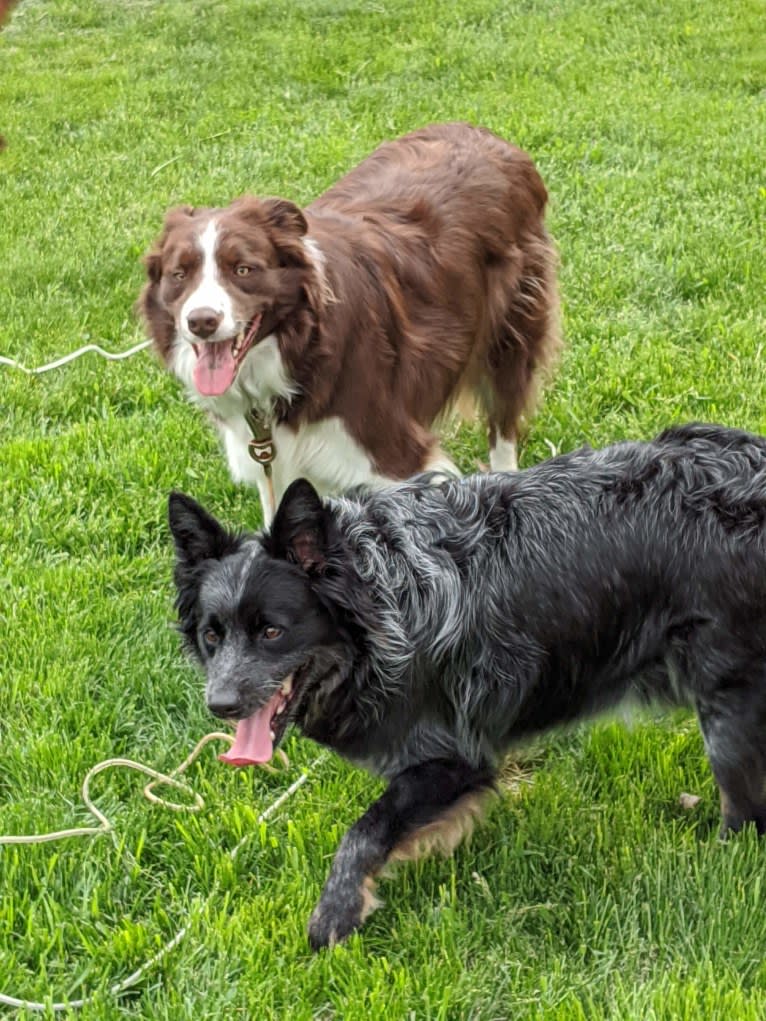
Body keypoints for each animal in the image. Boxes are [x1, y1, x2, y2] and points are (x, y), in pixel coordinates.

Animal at [139, 123, 559, 522]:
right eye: (180, 274)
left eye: (243, 269)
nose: (201, 321)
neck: (301, 349)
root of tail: (490, 138)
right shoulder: (272, 458)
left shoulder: (394, 456)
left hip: (512, 328)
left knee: (504, 424)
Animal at [167, 418, 766, 943]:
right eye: (212, 635)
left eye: (272, 631)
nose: (219, 705)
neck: (385, 602)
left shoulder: (454, 758)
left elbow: (363, 833)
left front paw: (334, 917)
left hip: (729, 710)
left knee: (745, 818)